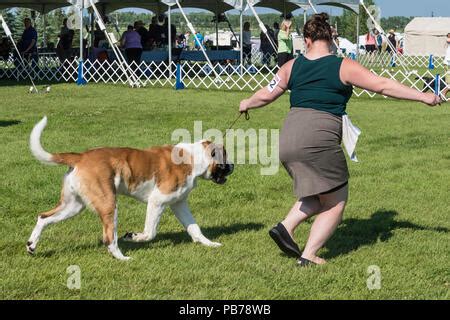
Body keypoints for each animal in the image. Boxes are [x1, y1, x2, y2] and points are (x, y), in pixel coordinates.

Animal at [26, 117, 234, 260]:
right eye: (225, 157)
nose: (233, 166)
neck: (194, 158)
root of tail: (81, 156)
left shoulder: (179, 204)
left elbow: (195, 228)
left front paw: (209, 244)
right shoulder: (157, 201)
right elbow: (150, 232)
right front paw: (134, 236)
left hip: (73, 206)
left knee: (43, 217)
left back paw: (31, 245)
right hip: (109, 205)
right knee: (109, 238)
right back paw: (122, 257)